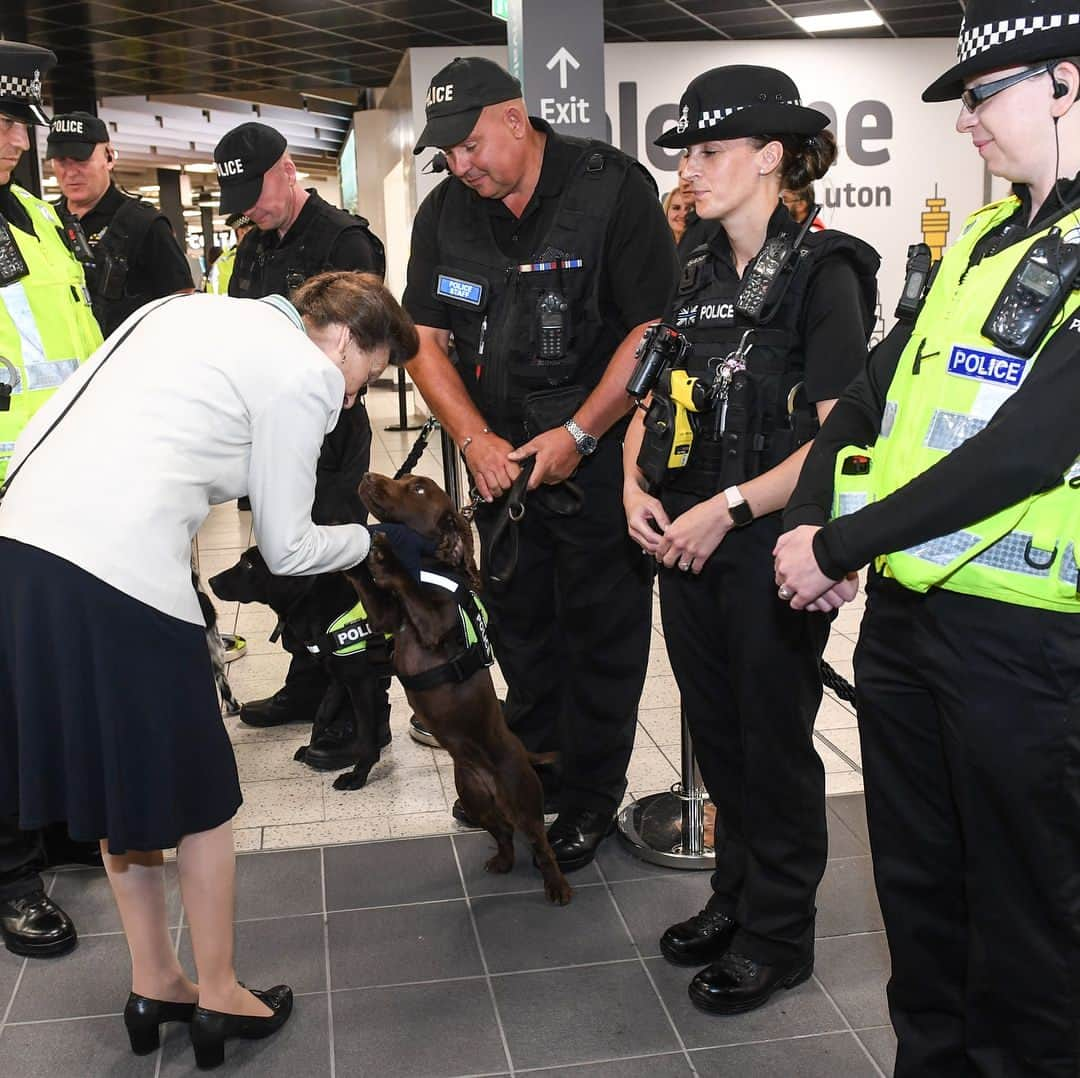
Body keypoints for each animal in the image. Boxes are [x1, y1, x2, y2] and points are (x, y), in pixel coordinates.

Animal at [207, 548, 393, 794]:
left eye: (248, 565)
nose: (210, 580)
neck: (312, 600)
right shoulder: (337, 680)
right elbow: (321, 716)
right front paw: (310, 746)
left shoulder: (360, 681)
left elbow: (366, 735)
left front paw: (358, 775)